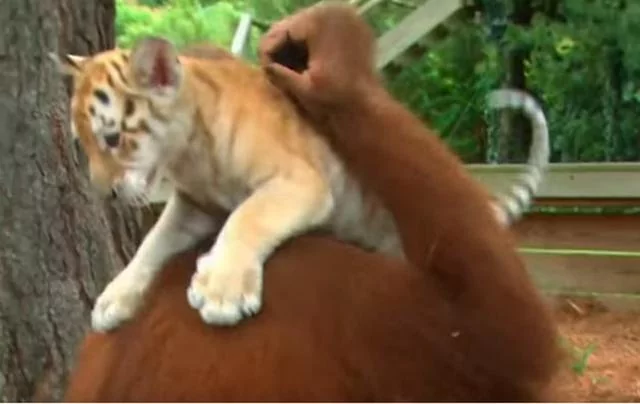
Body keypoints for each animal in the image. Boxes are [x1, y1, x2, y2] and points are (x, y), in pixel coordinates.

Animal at [49, 36, 549, 331]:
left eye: (113, 138)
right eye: (82, 143)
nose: (103, 193)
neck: (189, 153)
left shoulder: (298, 180)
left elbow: (248, 217)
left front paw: (221, 290)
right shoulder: (194, 206)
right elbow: (151, 244)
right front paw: (114, 299)